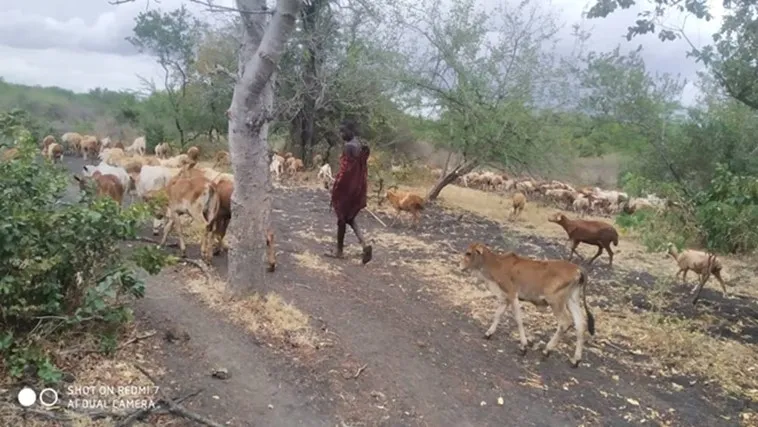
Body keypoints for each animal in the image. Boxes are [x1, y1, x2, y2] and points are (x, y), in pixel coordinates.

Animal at [459, 243, 595, 367]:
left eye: (468, 253)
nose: (460, 266)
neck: (497, 264)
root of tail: (577, 269)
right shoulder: (505, 298)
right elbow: (498, 315)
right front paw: (488, 333)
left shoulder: (512, 295)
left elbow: (518, 319)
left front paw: (523, 347)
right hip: (572, 300)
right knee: (580, 324)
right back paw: (576, 359)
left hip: (556, 302)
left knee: (565, 323)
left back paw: (547, 350)